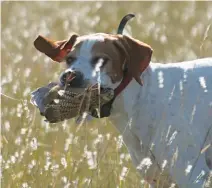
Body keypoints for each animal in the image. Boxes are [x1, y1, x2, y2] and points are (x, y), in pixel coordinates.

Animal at [34, 33, 211, 187]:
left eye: (101, 60)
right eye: (69, 59)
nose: (70, 76)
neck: (141, 96)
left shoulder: (192, 176)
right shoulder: (159, 179)